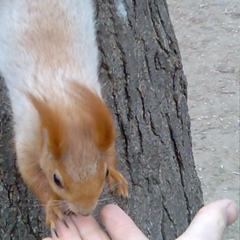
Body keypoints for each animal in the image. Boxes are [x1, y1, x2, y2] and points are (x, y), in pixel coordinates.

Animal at [0, 0, 128, 231]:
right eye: (56, 179)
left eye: (104, 173)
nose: (85, 211)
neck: (66, 105)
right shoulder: (27, 140)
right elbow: (32, 176)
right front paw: (52, 207)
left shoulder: (101, 121)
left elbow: (110, 151)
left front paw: (116, 176)